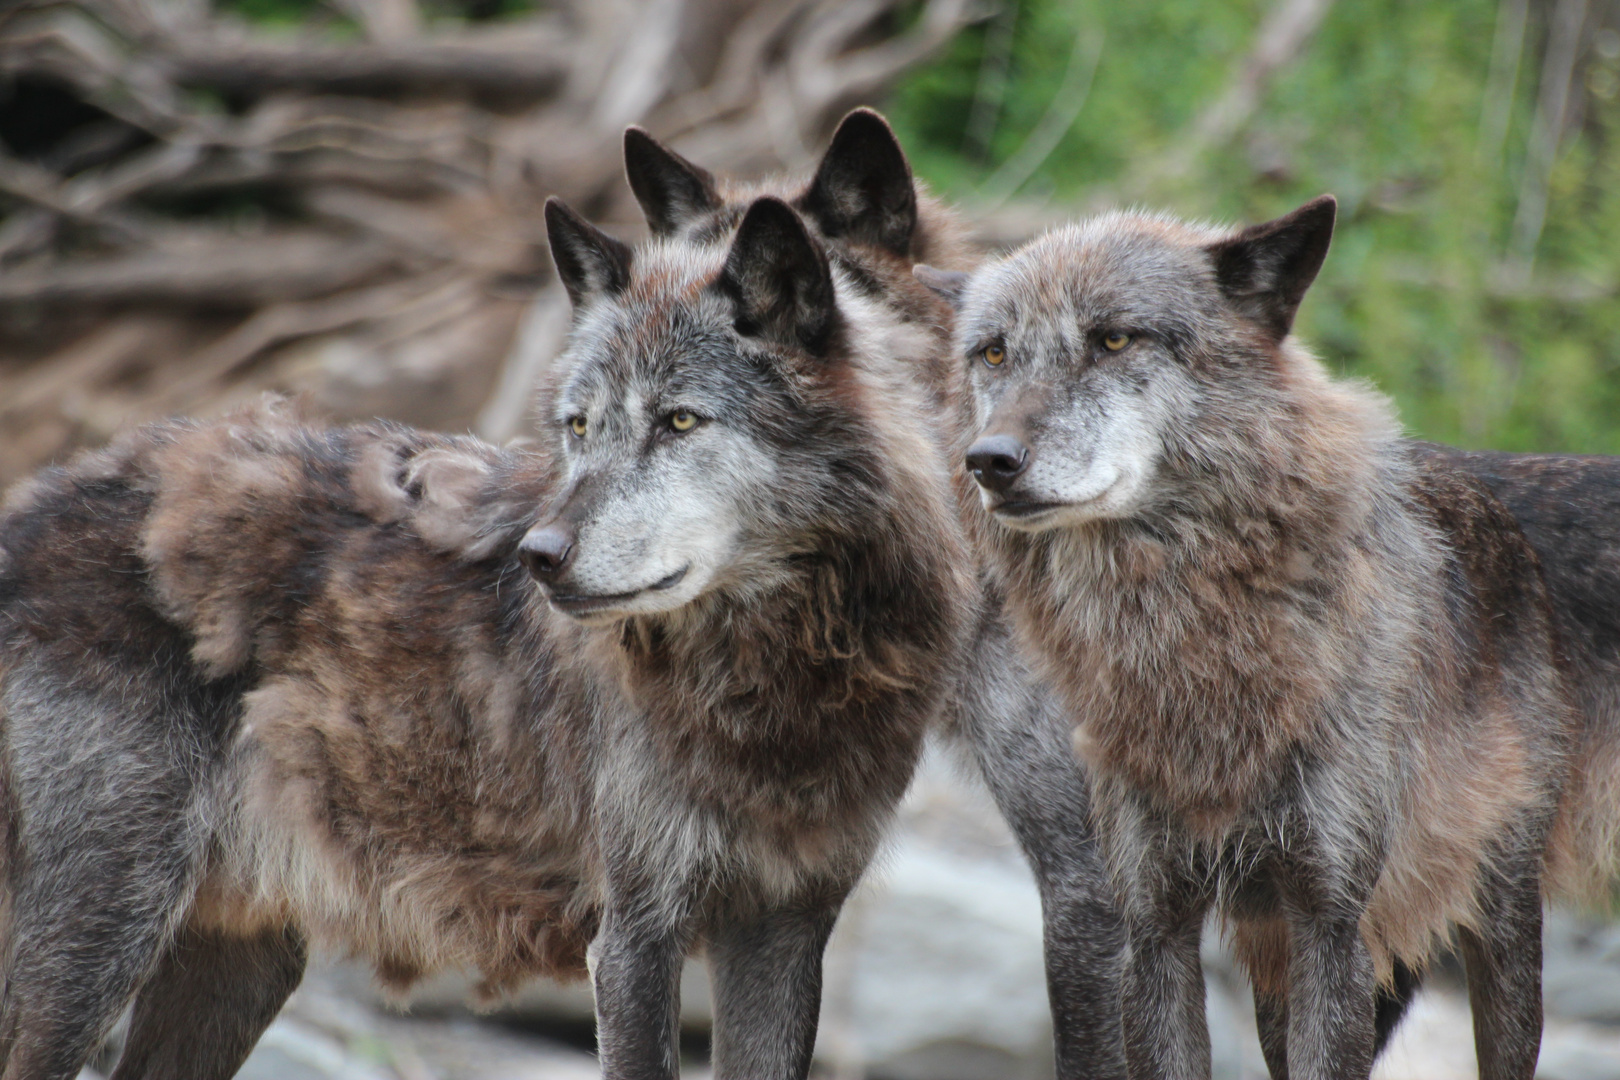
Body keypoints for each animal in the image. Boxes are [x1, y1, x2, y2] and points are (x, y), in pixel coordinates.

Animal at [0, 111, 978, 1080]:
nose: (537, 554)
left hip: (238, 963)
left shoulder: (785, 933)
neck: (774, 672)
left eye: (680, 421)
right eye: (579, 427)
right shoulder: (635, 936)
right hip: (97, 946)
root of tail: (32, 503)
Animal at [920, 196, 1620, 1080]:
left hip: (1495, 928)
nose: (989, 461)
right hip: (1282, 969)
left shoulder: (1330, 921)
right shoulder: (1155, 924)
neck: (1195, 650)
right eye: (993, 352)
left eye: (1114, 339)